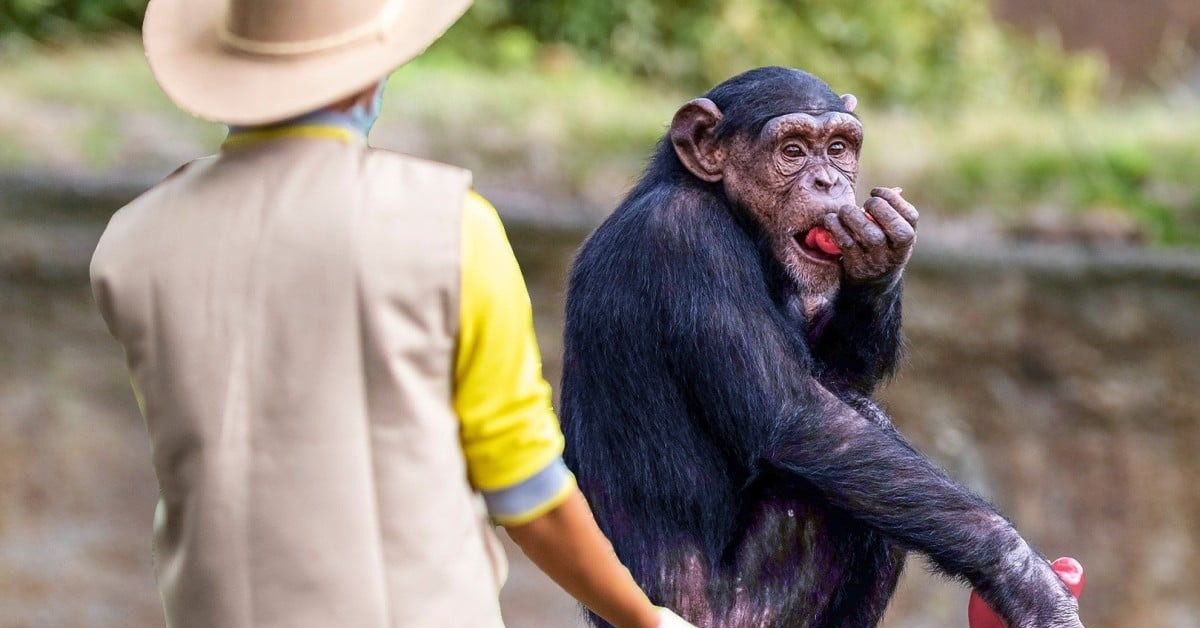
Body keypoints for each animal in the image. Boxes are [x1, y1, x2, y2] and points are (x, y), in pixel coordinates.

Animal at [556, 67, 1084, 628]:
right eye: (792, 150)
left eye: (837, 148)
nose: (829, 181)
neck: (728, 210)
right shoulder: (688, 242)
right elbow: (795, 414)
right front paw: (1022, 577)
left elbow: (835, 374)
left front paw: (880, 254)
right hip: (736, 613)